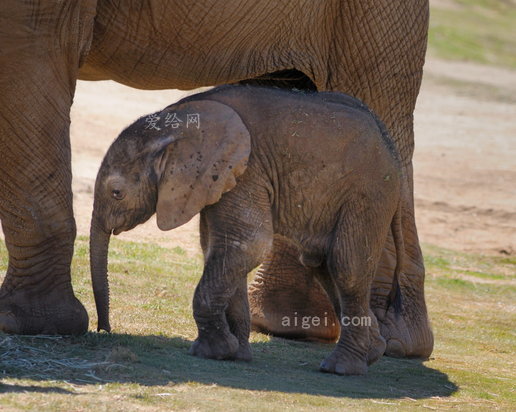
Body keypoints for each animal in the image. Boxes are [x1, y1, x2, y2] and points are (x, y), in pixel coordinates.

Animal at [89, 85, 404, 374]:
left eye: (117, 192)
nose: (105, 329)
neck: (176, 122)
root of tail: (391, 147)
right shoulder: (218, 181)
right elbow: (221, 249)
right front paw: (235, 354)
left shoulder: (246, 171)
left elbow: (248, 244)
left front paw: (212, 351)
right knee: (322, 264)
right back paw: (373, 353)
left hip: (369, 193)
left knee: (346, 266)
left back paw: (341, 368)